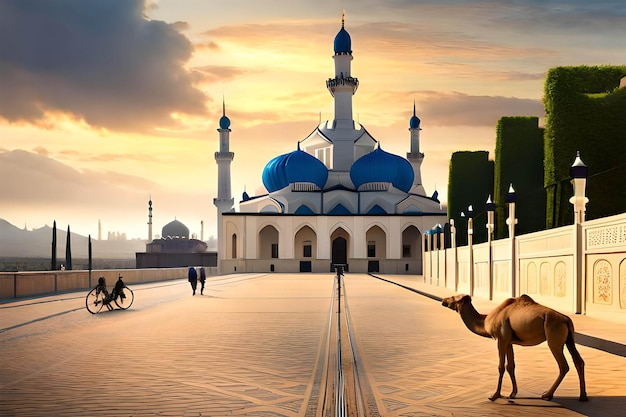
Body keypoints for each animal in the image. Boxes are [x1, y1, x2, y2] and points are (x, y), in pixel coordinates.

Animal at [438, 290, 584, 402]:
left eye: (453, 297)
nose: (443, 300)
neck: (486, 321)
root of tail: (566, 320)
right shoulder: (508, 341)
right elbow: (511, 366)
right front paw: (512, 394)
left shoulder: (501, 339)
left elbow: (501, 367)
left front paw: (494, 395)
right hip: (569, 339)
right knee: (578, 361)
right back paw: (582, 396)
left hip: (554, 338)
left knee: (563, 365)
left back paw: (547, 395)